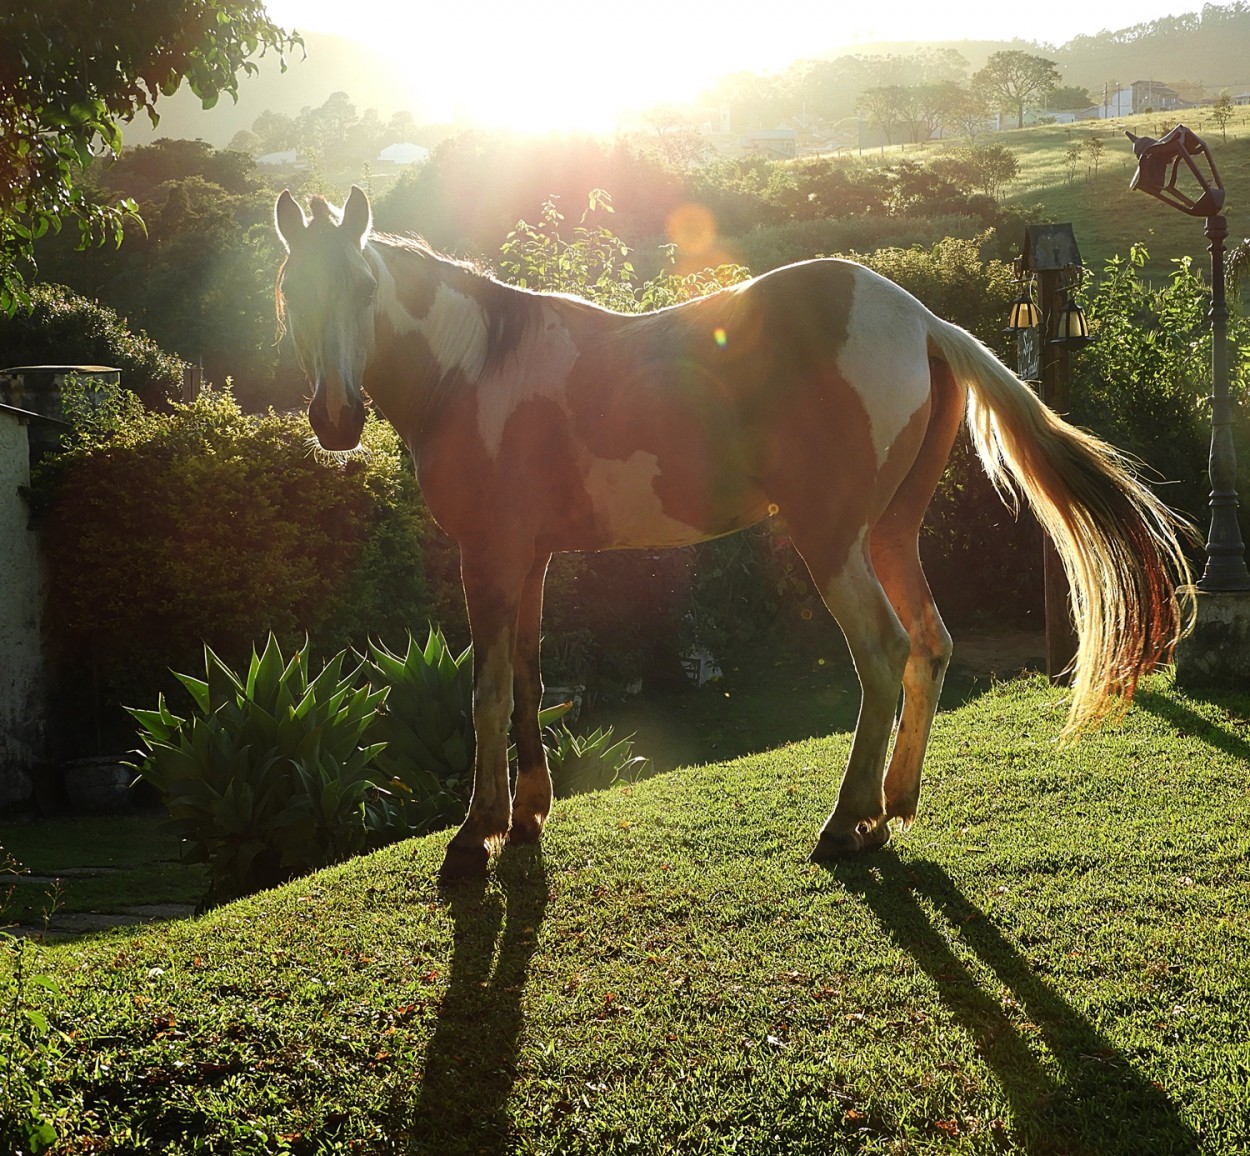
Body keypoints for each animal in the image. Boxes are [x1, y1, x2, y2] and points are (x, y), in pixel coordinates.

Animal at [273, 184, 1190, 879]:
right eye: (291, 288)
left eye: (363, 290)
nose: (335, 419)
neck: (476, 366)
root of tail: (924, 322)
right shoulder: (528, 560)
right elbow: (531, 682)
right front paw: (528, 816)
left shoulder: (489, 557)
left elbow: (488, 690)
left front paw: (475, 836)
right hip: (888, 535)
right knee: (929, 645)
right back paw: (892, 806)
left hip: (832, 541)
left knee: (883, 653)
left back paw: (846, 823)